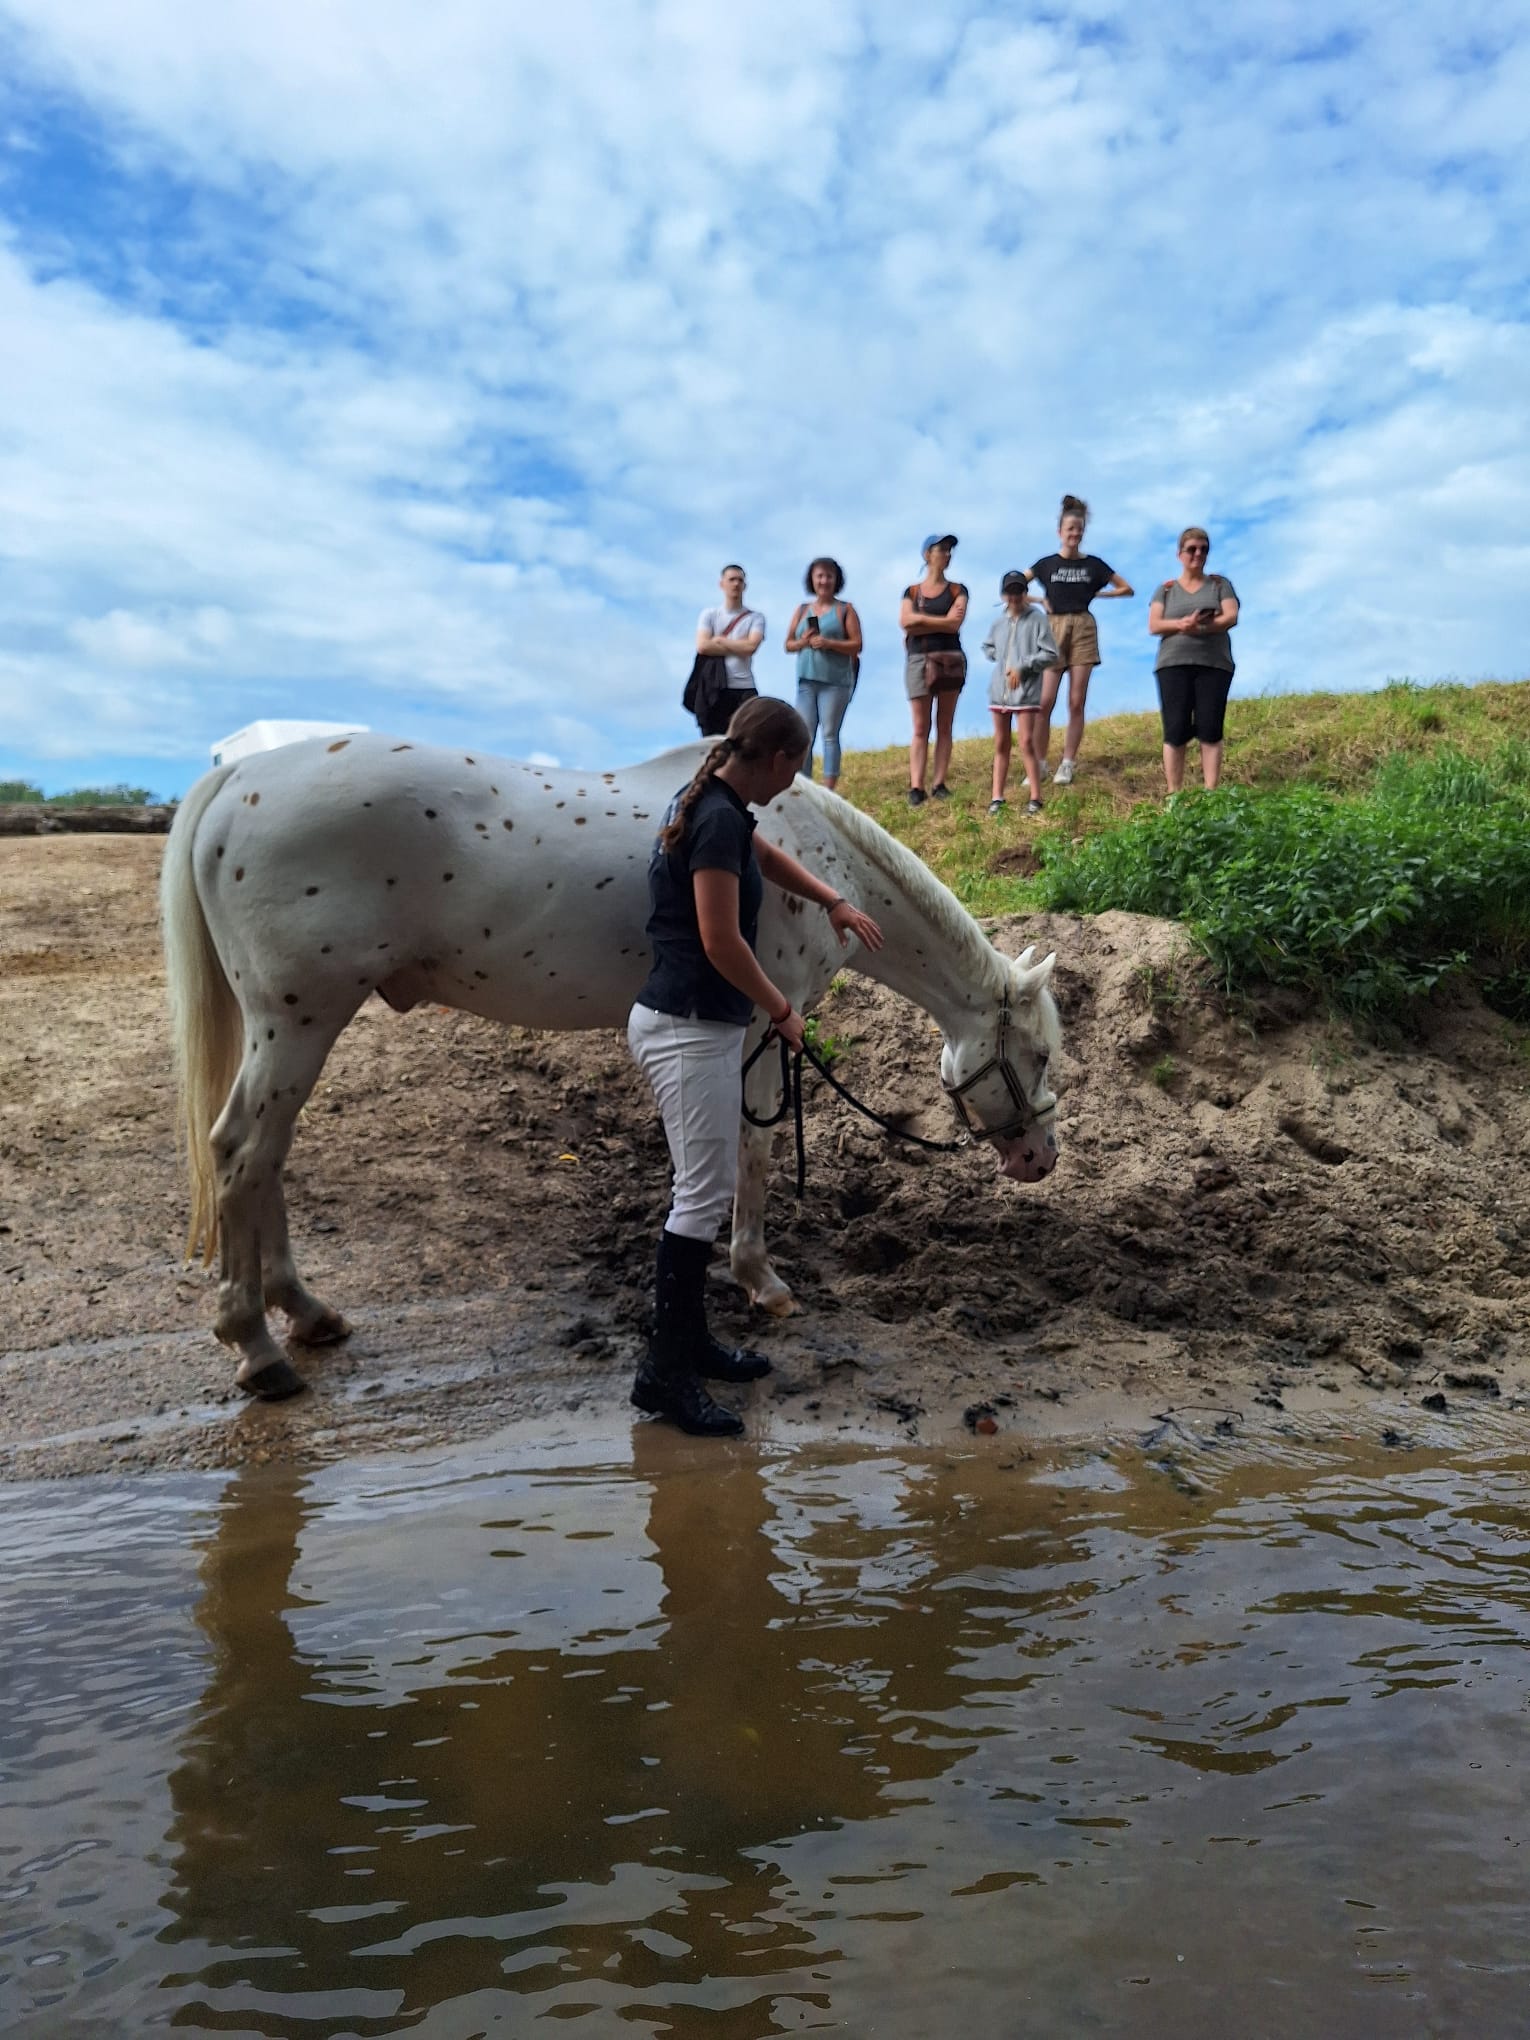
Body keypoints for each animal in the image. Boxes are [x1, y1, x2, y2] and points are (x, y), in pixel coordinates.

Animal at [162, 738, 1060, 1403]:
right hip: (297, 1021)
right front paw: (760, 1280)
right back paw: (257, 1347)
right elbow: (754, 1153)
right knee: (242, 1151)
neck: (809, 849)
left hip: (283, 1029)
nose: (1040, 1159)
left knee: (265, 1159)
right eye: (1043, 1053)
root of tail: (239, 777)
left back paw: (304, 1312)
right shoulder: (760, 1024)